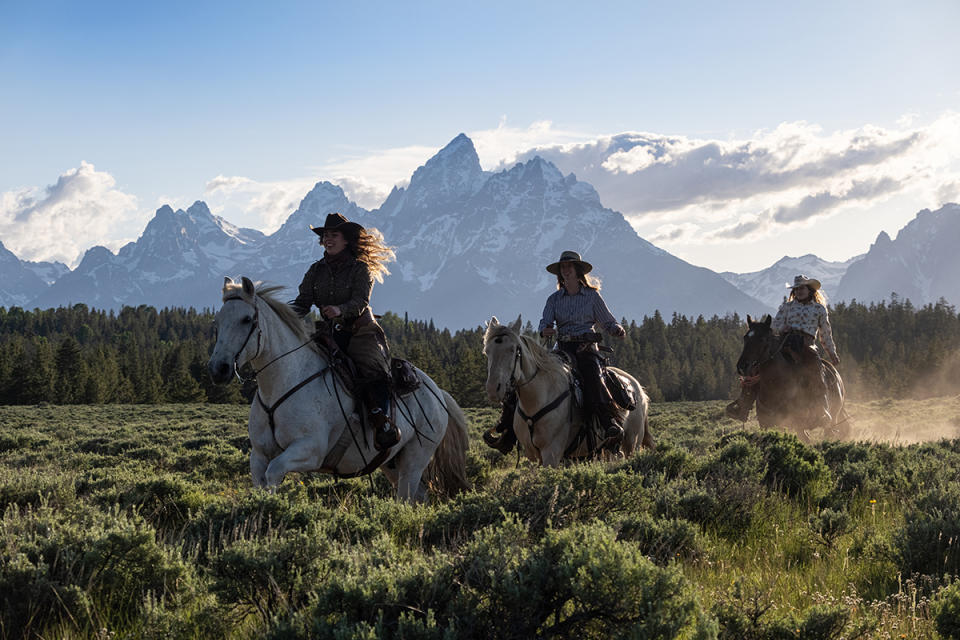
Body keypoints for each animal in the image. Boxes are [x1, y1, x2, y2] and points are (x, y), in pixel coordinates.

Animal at [208, 278, 470, 502]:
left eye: (246, 319)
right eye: (217, 322)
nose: (218, 368)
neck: (284, 381)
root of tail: (438, 393)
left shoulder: (309, 450)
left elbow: (274, 473)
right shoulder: (259, 455)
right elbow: (260, 482)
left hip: (415, 460)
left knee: (406, 497)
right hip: (391, 462)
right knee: (419, 496)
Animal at [480, 318, 652, 468]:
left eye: (513, 350)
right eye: (487, 352)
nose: (493, 389)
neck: (537, 398)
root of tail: (639, 389)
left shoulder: (552, 452)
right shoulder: (534, 455)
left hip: (632, 443)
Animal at [736, 312, 848, 442]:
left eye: (762, 339)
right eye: (745, 337)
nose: (742, 366)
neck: (776, 386)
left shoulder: (797, 423)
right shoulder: (767, 424)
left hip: (832, 419)